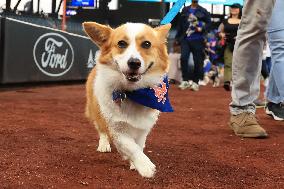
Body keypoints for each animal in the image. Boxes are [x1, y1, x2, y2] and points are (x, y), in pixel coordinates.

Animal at [83, 21, 172, 178]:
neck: (133, 93)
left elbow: (139, 145)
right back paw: (104, 144)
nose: (134, 63)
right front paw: (145, 166)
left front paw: (134, 164)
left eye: (147, 44)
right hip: (96, 108)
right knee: (101, 128)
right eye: (121, 43)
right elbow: (131, 147)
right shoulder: (116, 129)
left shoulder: (143, 128)